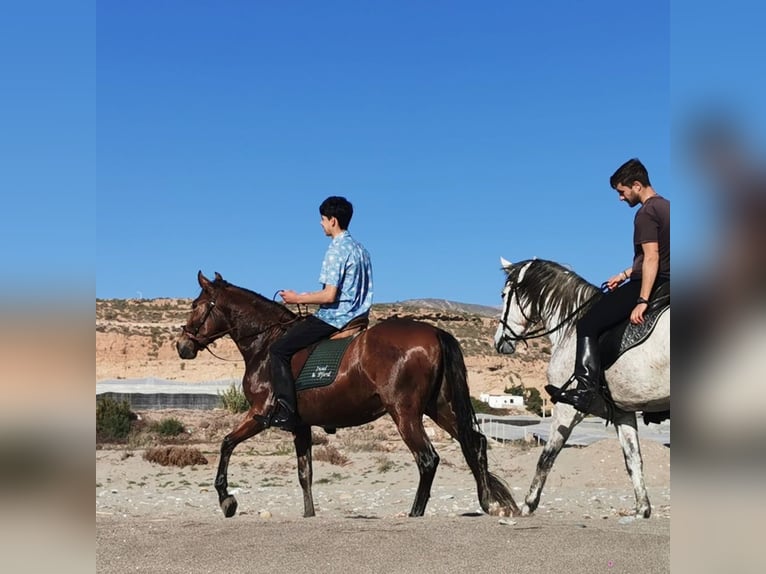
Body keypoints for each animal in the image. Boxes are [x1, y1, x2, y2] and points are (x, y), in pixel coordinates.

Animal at [177, 272, 520, 520]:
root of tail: (435, 332)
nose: (183, 346)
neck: (265, 344)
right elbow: (305, 473)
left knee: (428, 459)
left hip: (405, 413)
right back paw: (490, 502)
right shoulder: (301, 426)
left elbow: (226, 444)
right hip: (439, 407)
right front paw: (309, 515)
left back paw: (416, 512)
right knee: (474, 443)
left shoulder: (260, 414)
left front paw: (227, 501)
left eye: (195, 305)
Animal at [496, 258, 668, 520]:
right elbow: (633, 459)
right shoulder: (623, 411)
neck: (570, 328)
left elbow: (547, 456)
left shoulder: (567, 407)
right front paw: (642, 509)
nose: (499, 342)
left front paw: (528, 505)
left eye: (504, 295)